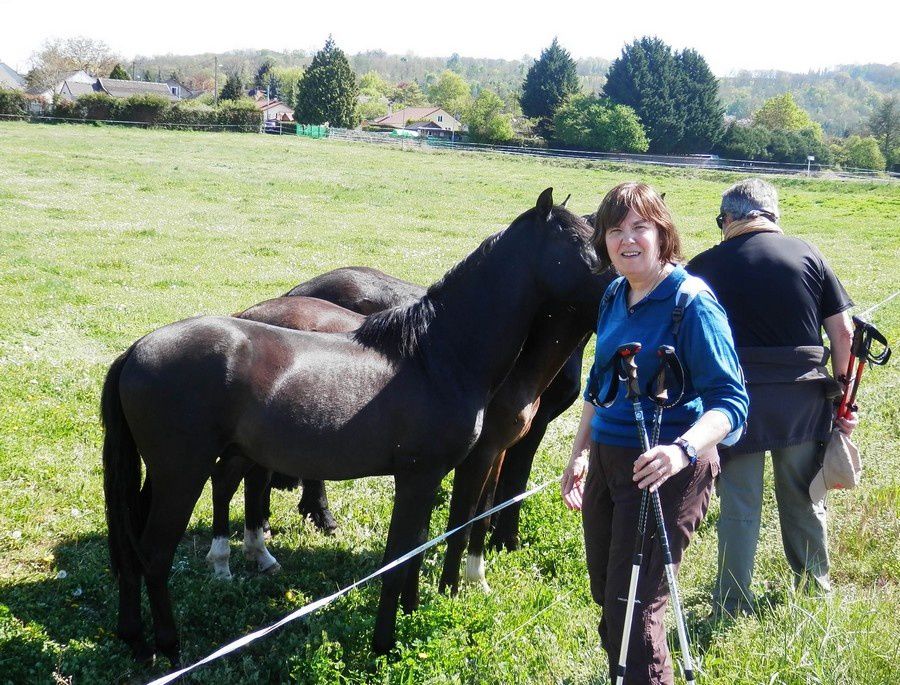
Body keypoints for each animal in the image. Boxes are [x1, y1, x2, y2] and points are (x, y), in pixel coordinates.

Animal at [100, 190, 604, 660]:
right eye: (583, 247)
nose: (618, 284)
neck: (436, 357)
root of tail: (136, 350)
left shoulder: (432, 477)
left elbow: (417, 551)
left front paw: (412, 615)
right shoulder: (419, 476)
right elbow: (400, 559)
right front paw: (385, 644)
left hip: (167, 475)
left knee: (134, 551)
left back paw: (135, 638)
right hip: (181, 476)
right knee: (155, 554)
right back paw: (168, 645)